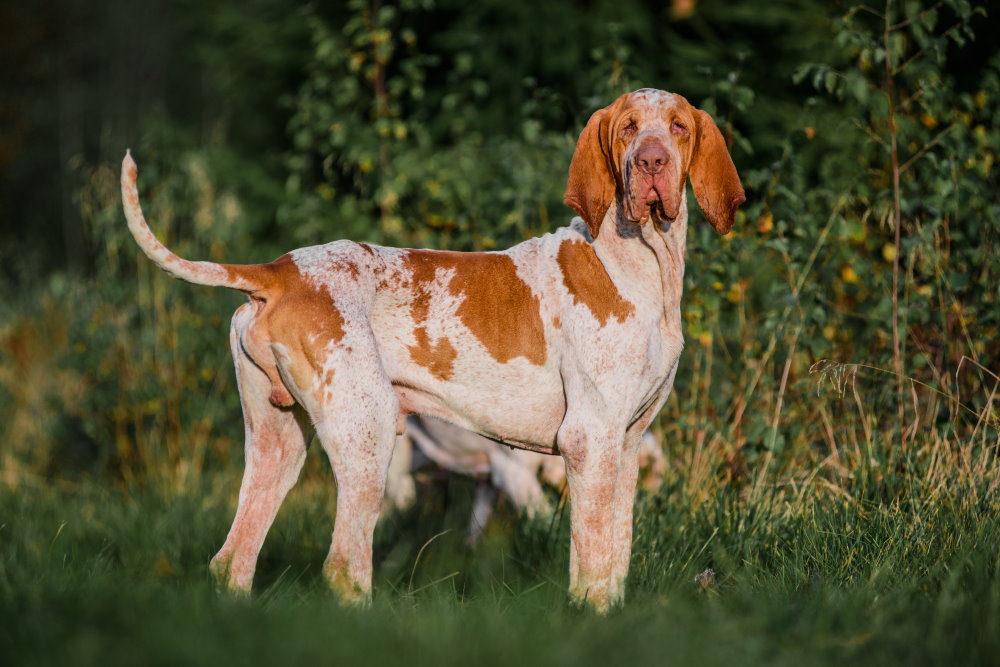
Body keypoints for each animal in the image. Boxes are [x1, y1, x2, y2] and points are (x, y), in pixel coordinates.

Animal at [119, 87, 744, 612]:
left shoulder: (627, 444)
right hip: (368, 434)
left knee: (232, 561)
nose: (652, 162)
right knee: (344, 567)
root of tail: (278, 269)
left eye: (678, 126)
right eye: (630, 128)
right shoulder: (588, 442)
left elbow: (616, 553)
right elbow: (590, 561)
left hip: (280, 445)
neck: (639, 264)